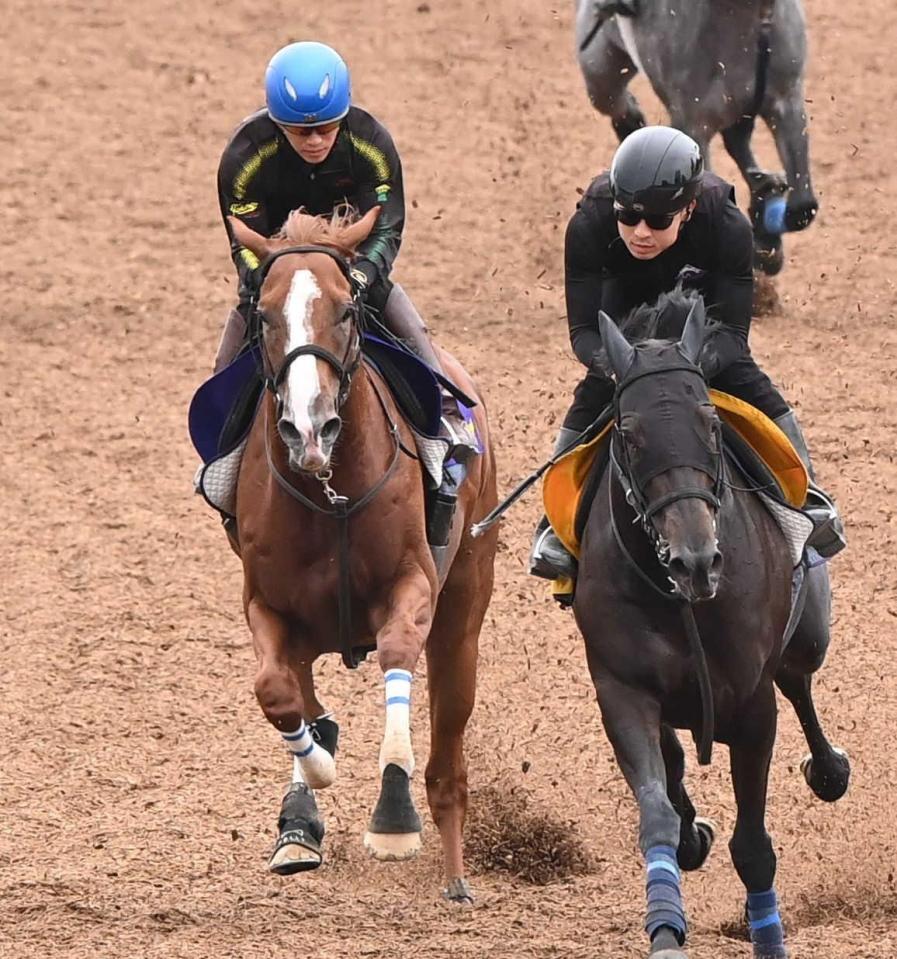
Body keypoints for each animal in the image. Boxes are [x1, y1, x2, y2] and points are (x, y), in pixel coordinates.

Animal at [226, 206, 496, 904]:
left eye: (347, 310)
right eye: (264, 315)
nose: (309, 427)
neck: (331, 492)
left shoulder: (413, 584)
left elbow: (397, 654)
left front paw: (394, 818)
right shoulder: (268, 606)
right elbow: (277, 692)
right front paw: (312, 778)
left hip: (464, 608)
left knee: (448, 758)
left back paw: (455, 875)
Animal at [576, 0, 816, 274]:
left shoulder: (788, 105)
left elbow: (802, 208)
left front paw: (766, 239)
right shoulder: (695, 127)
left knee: (737, 142)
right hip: (601, 74)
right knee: (620, 108)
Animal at [576, 288, 848, 956]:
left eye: (713, 425)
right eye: (628, 434)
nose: (695, 559)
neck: (685, 603)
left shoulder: (752, 705)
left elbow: (753, 846)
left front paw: (769, 939)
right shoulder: (622, 690)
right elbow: (656, 812)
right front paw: (665, 924)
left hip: (811, 632)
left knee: (800, 681)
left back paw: (829, 769)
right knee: (676, 758)